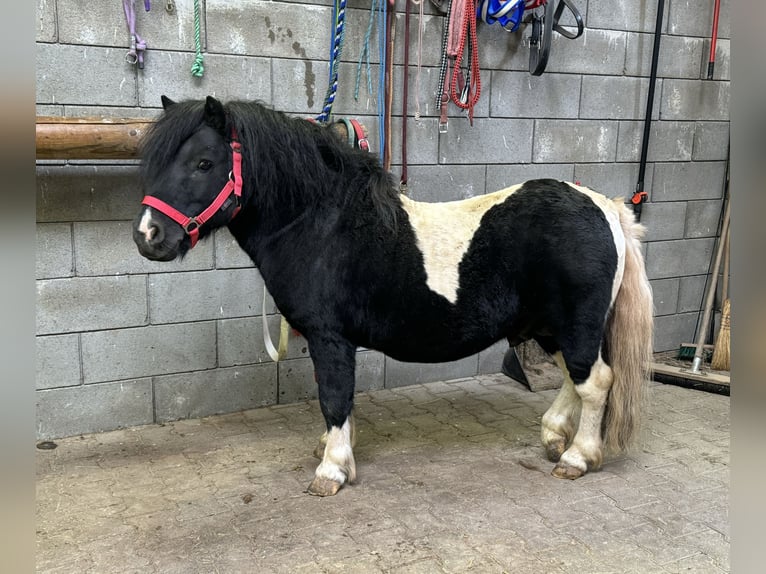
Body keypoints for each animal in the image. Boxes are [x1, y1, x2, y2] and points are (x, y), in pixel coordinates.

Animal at [132, 97, 656, 498]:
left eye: (204, 163)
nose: (148, 236)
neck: (322, 224)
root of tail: (604, 206)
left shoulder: (329, 337)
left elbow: (334, 397)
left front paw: (331, 469)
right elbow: (338, 401)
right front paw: (336, 450)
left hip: (576, 324)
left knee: (595, 382)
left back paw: (576, 457)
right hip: (549, 326)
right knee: (573, 376)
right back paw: (553, 436)